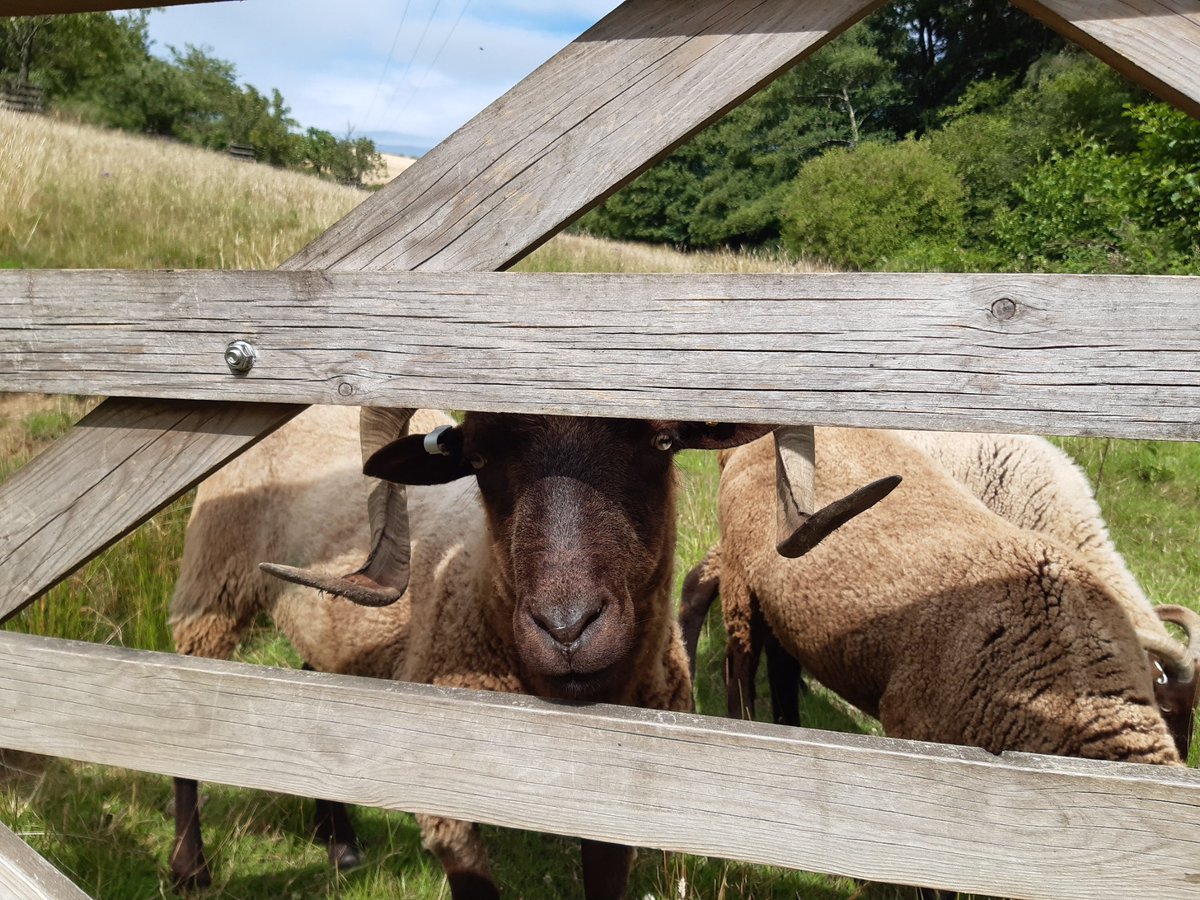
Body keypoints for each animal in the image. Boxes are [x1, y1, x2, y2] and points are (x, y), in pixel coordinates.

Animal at [168, 406, 792, 898]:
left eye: (663, 444)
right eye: (480, 460)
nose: (567, 630)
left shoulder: (618, 811)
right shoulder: (447, 802)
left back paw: (339, 843)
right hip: (210, 590)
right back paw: (189, 869)